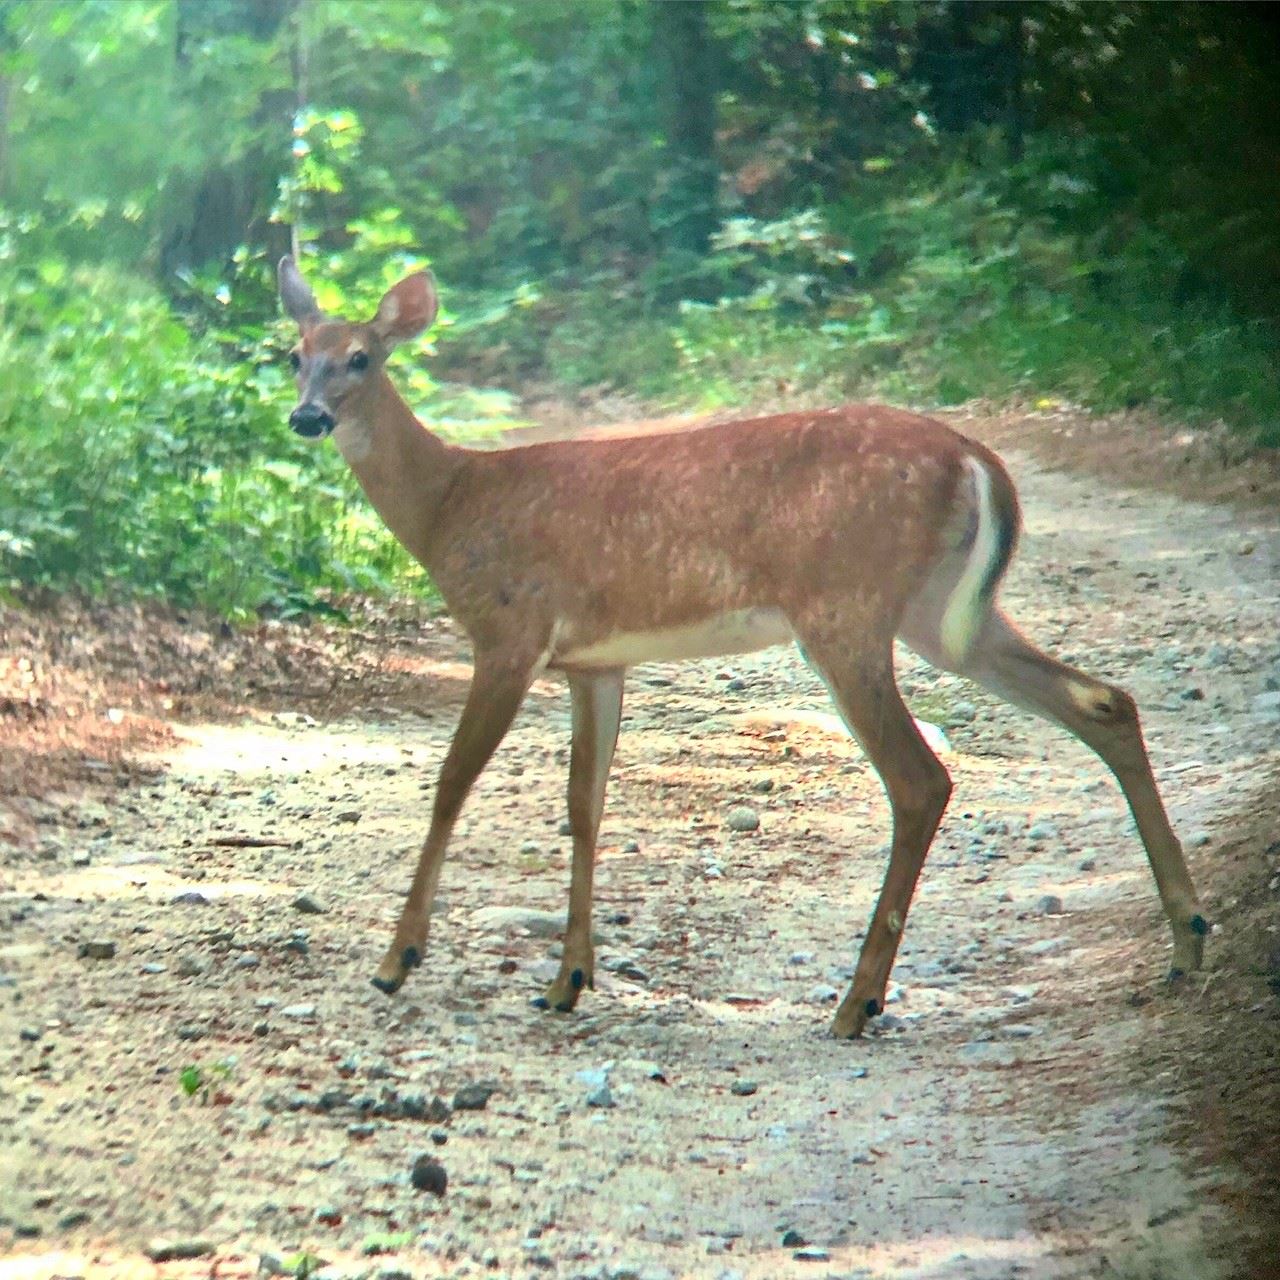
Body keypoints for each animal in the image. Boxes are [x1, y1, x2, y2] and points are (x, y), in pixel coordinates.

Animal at [277, 256, 1208, 1039]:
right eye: (294, 356)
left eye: (361, 358)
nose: (306, 417)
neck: (450, 505)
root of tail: (978, 457)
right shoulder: (595, 663)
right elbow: (585, 806)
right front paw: (567, 980)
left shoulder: (509, 634)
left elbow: (449, 786)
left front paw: (397, 961)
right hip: (945, 613)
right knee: (1102, 701)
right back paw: (1187, 942)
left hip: (845, 610)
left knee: (920, 779)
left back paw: (856, 1003)